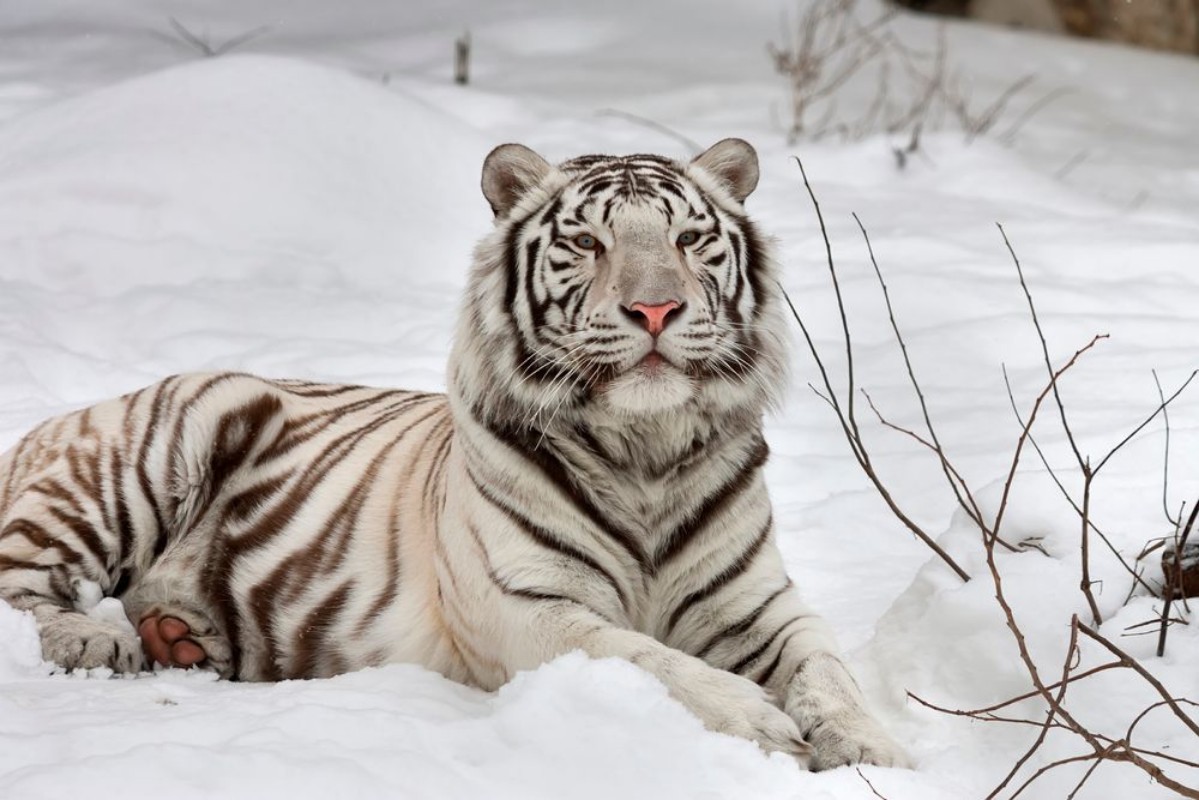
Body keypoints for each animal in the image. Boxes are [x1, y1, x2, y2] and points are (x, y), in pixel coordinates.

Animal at [0, 138, 907, 770]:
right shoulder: (528, 607)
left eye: (689, 239)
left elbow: (827, 670)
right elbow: (649, 660)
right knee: (23, 583)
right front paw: (760, 723)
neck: (645, 451)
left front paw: (874, 748)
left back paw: (181, 637)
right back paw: (95, 641)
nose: (656, 309)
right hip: (155, 450)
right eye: (587, 244)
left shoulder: (759, 606)